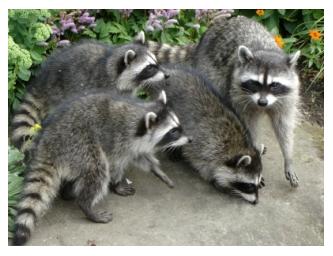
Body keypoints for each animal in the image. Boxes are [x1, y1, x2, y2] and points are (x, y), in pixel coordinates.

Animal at [10, 31, 169, 152]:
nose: (167, 75)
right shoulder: (102, 86)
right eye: (150, 68)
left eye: (156, 62)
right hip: (61, 91)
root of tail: (42, 83)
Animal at [13, 90, 189, 246]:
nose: (190, 140)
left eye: (179, 126)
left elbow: (140, 156)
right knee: (98, 168)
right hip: (78, 143)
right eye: (173, 131)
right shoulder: (119, 141)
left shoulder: (134, 145)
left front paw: (157, 170)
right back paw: (86, 205)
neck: (140, 112)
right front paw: (117, 183)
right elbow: (116, 164)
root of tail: (47, 143)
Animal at [144, 16, 300, 188]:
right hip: (211, 70)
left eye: (274, 85)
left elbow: (283, 126)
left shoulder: (287, 97)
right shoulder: (239, 92)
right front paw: (253, 151)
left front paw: (288, 158)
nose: (262, 102)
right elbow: (248, 124)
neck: (265, 50)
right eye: (255, 83)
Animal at [149, 66, 264, 206]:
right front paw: (214, 179)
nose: (256, 202)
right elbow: (200, 163)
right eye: (249, 186)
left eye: (256, 184)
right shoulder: (204, 144)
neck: (237, 146)